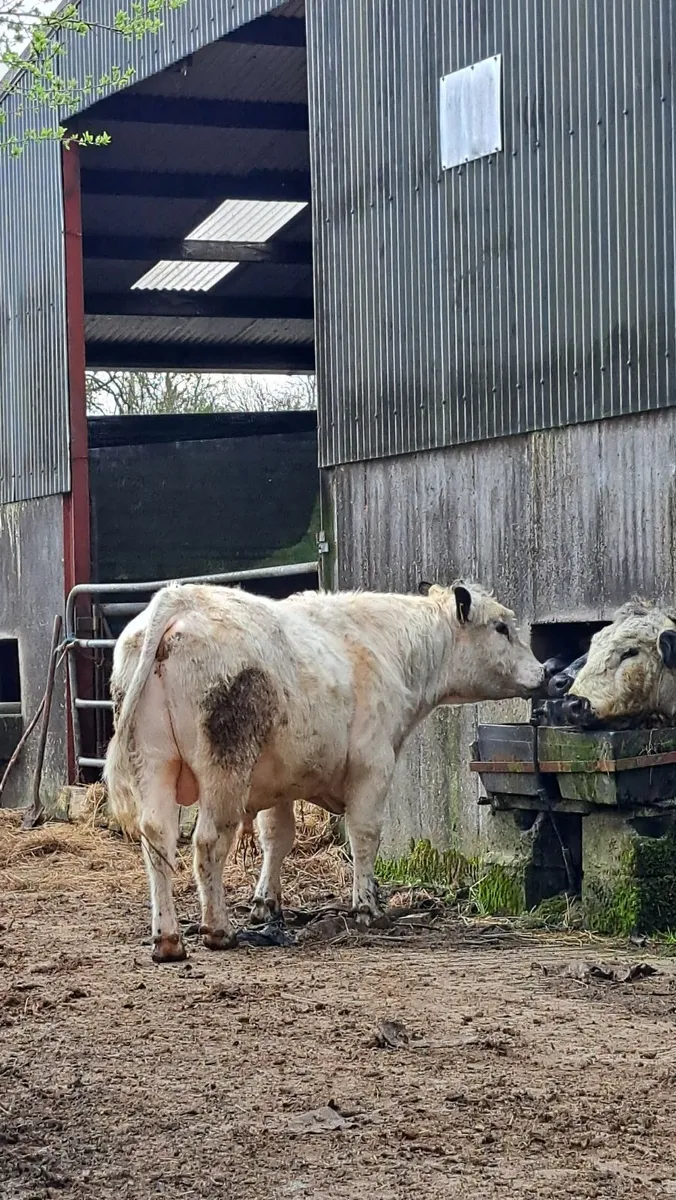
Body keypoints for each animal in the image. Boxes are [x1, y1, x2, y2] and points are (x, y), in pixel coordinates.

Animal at [104, 580, 544, 963]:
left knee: (157, 840)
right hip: (224, 767)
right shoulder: (373, 765)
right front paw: (367, 907)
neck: (387, 647)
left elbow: (277, 839)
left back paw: (168, 940)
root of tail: (181, 597)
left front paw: (266, 904)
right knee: (209, 841)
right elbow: (365, 835)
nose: (545, 673)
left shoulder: (277, 782)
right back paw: (218, 930)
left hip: (153, 762)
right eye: (502, 627)